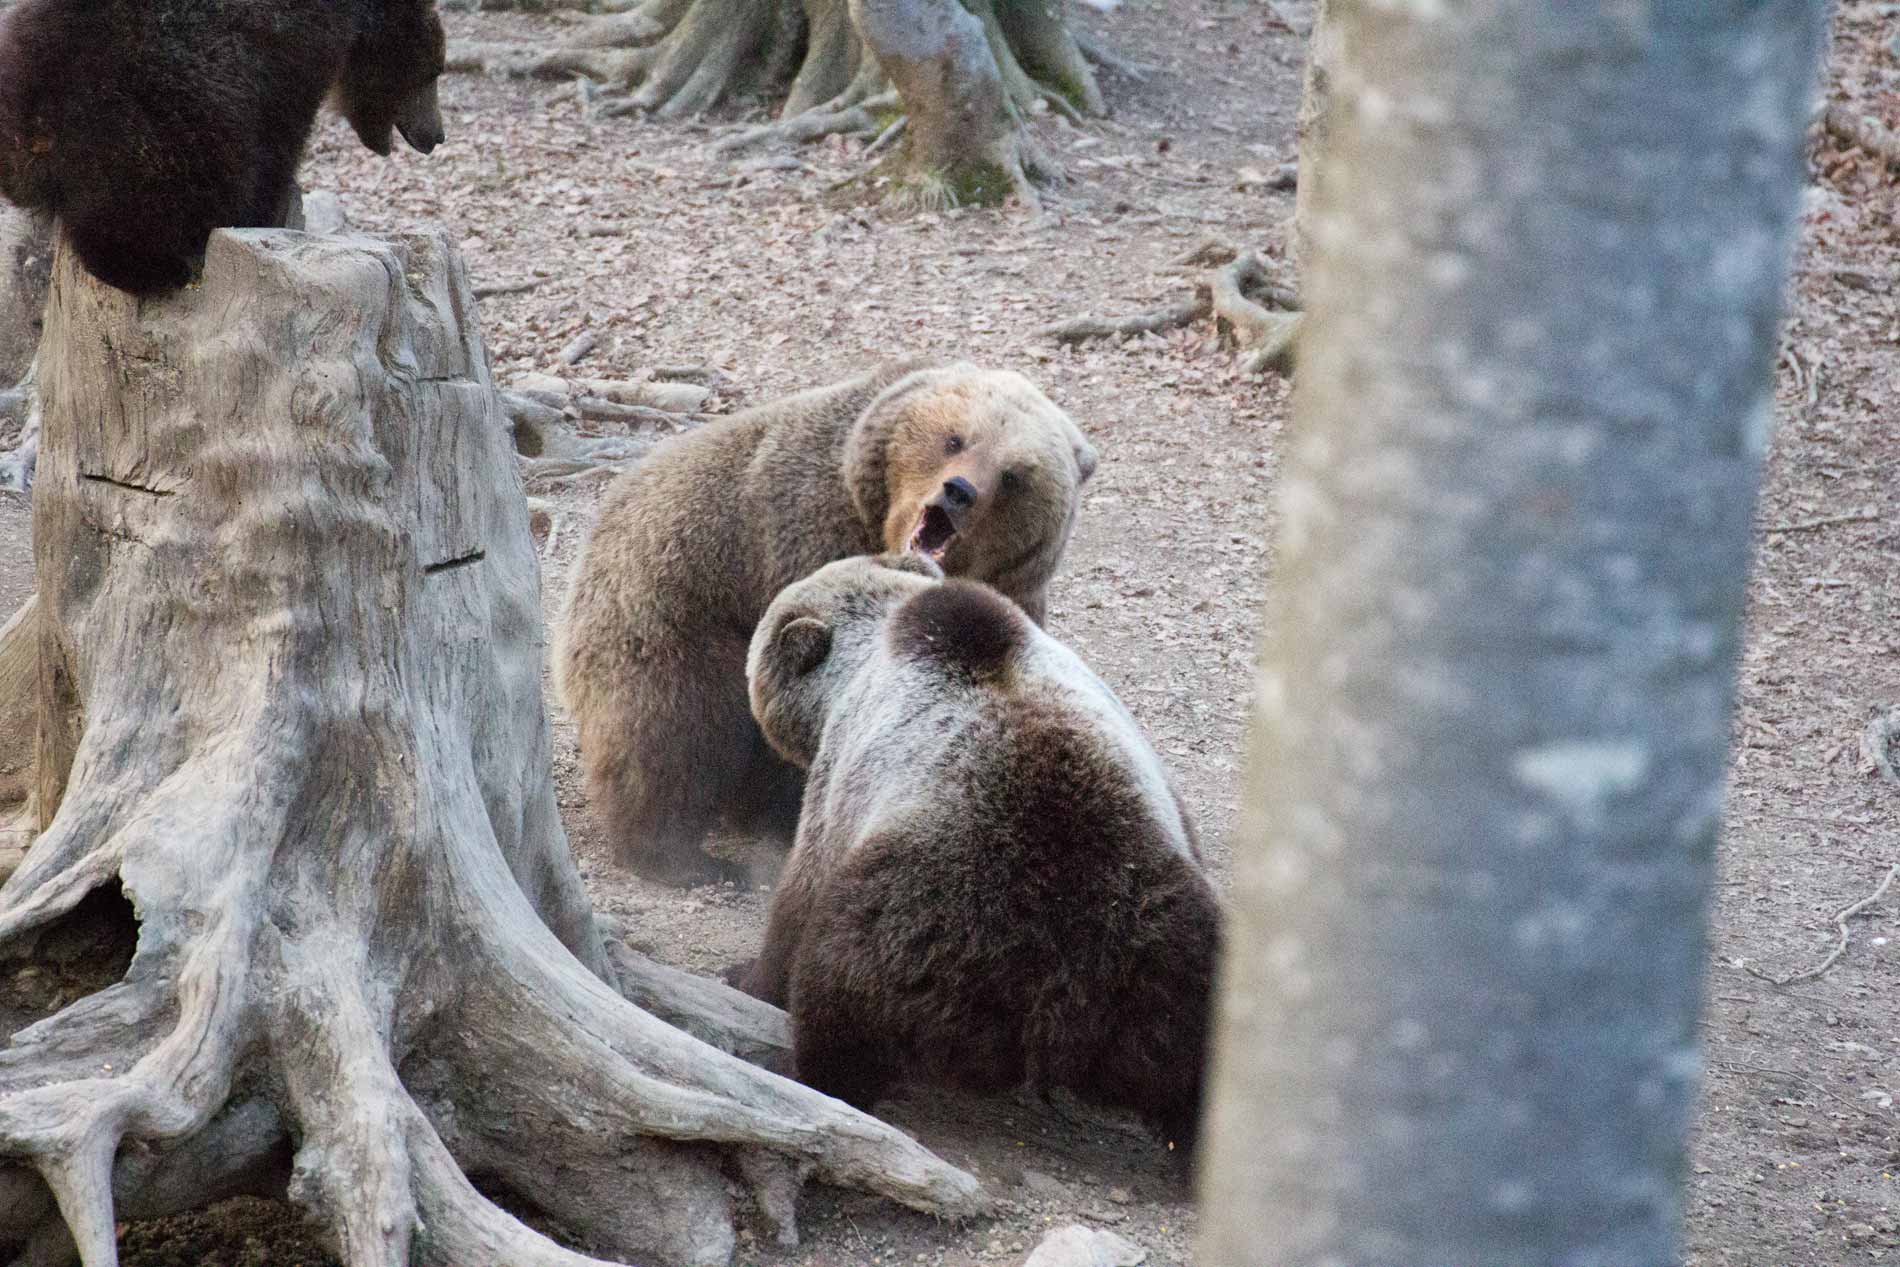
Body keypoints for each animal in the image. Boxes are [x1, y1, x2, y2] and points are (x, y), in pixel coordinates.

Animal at [0, 0, 444, 292]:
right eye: (434, 72)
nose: (436, 135)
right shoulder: (284, 53)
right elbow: (281, 132)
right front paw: (273, 206)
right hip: (155, 119)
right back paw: (161, 271)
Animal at [551, 357, 1102, 888]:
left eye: (1014, 476)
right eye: (955, 438)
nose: (958, 491)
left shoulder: (1013, 595)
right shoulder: (806, 535)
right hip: (669, 608)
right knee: (676, 729)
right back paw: (682, 856)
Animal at [733, 558, 1223, 1162]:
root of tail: (1064, 991)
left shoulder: (840, 780)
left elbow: (799, 898)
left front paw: (748, 975)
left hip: (915, 919)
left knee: (838, 989)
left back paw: (812, 1070)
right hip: (1170, 946)